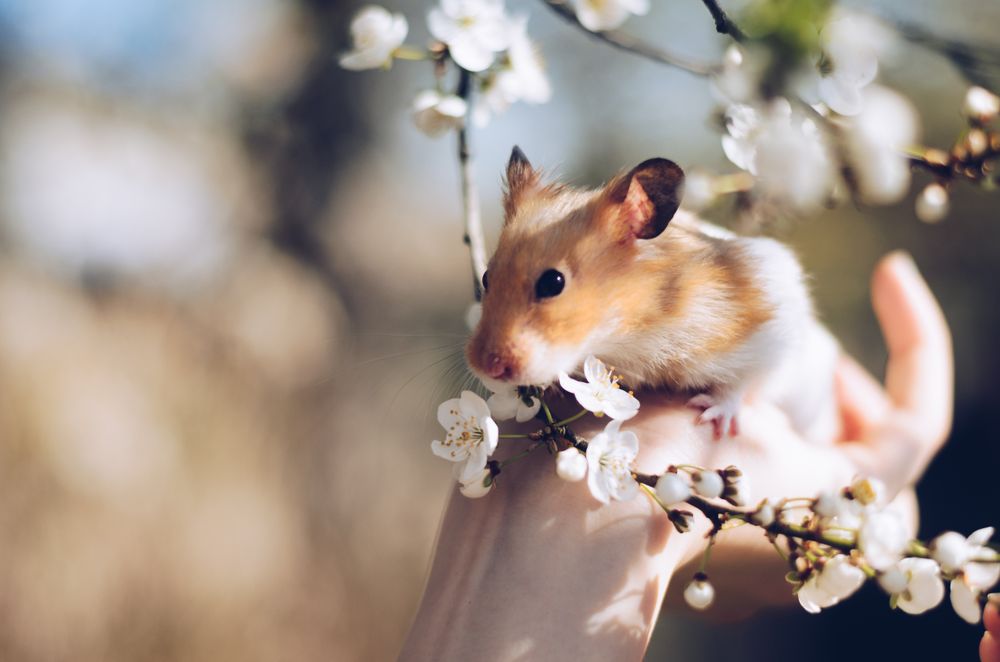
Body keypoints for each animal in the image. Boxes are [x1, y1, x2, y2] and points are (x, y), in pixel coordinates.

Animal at [466, 146, 839, 441]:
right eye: (486, 277)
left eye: (552, 283)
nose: (485, 367)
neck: (631, 331)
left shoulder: (773, 322)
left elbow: (743, 382)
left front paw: (711, 416)